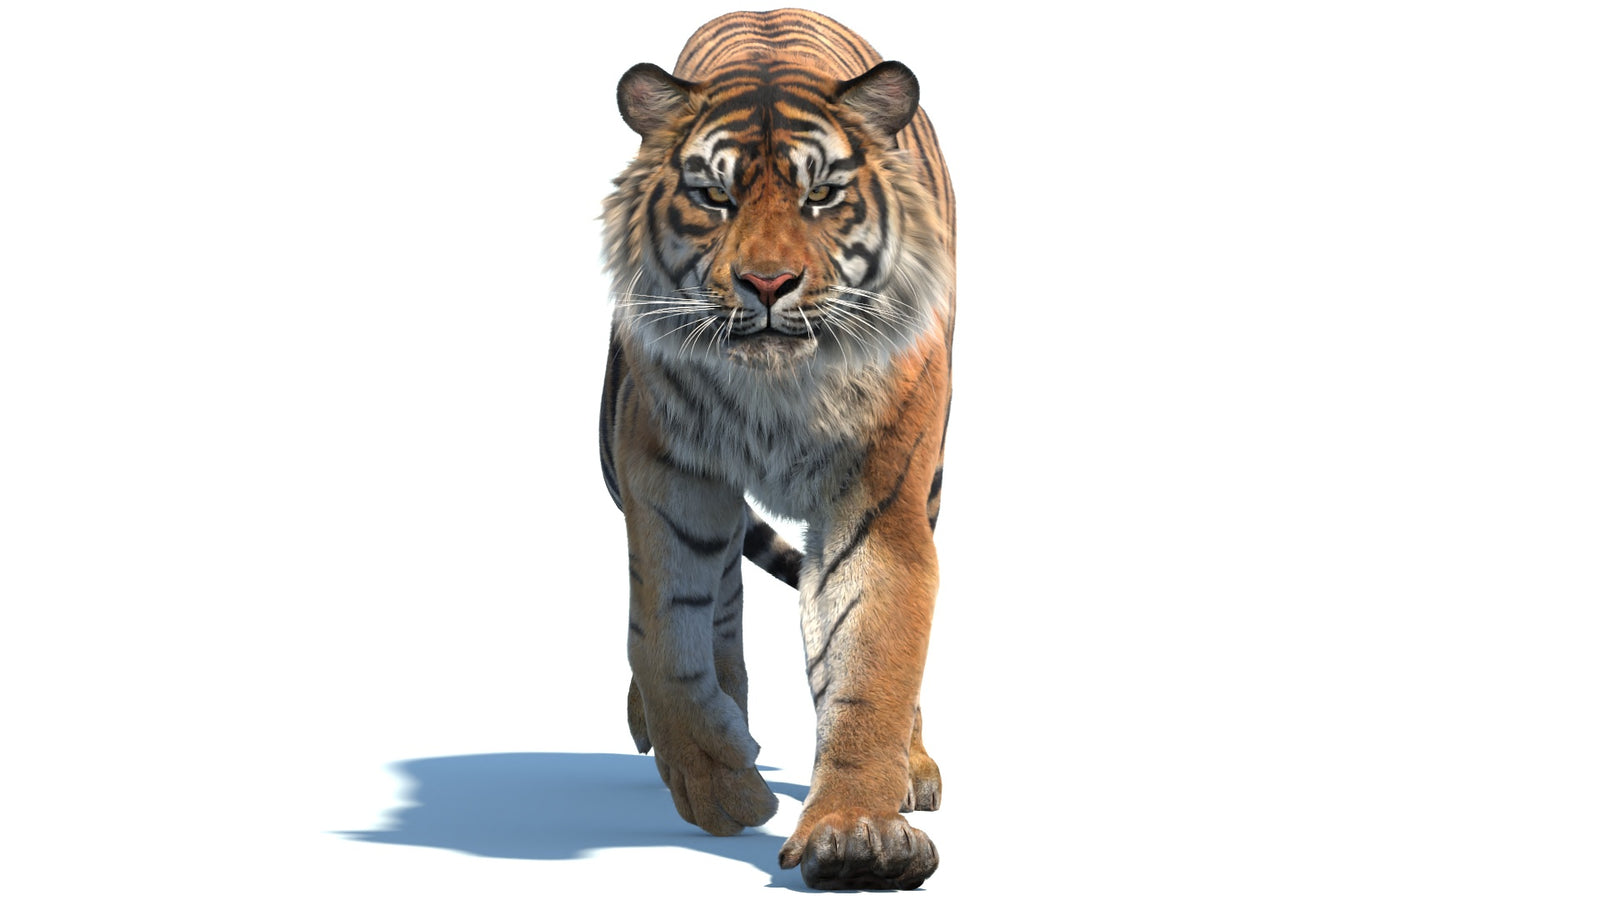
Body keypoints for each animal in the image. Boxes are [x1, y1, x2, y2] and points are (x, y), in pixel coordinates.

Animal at [597, 8, 956, 891]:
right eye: (713, 196)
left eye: (821, 194)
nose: (766, 284)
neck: (776, 393)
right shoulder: (667, 481)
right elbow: (667, 640)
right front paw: (720, 787)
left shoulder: (878, 502)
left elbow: (873, 660)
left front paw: (858, 833)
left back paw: (913, 767)